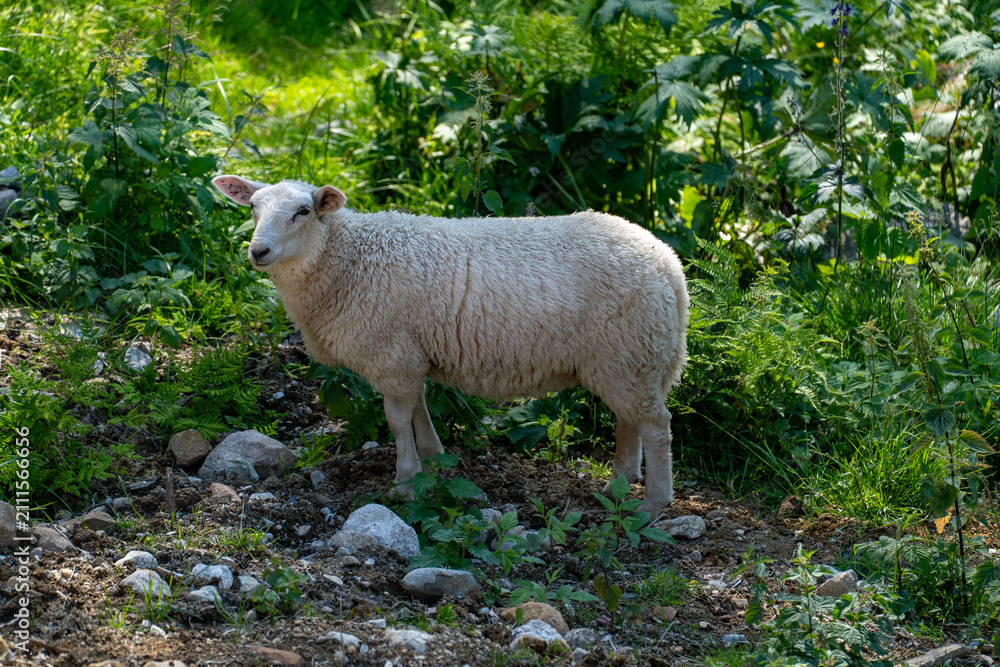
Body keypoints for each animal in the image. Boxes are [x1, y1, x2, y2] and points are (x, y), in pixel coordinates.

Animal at [212, 176, 689, 514]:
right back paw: (619, 486)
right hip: (630, 359)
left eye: (303, 211)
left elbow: (396, 419)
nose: (258, 251)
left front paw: (406, 482)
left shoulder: (391, 354)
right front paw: (433, 458)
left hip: (630, 351)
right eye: (252, 207)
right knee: (630, 421)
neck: (347, 258)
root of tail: (669, 265)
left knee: (656, 426)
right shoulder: (409, 354)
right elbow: (420, 407)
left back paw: (651, 506)